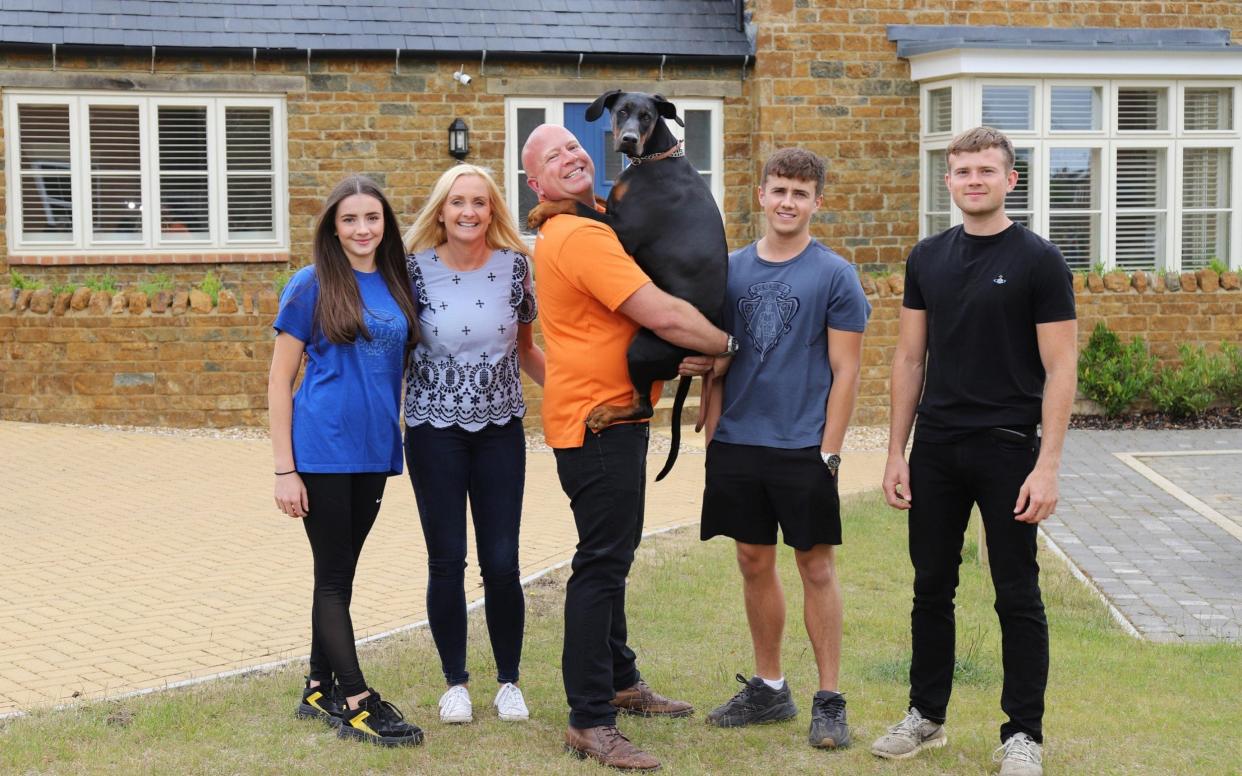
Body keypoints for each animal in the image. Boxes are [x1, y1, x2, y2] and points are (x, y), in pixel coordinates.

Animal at [529, 89, 730, 479]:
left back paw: (606, 413)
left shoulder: (623, 233)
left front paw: (544, 209)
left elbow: (574, 202)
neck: (652, 160)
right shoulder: (613, 211)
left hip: (640, 349)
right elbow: (597, 199)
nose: (628, 140)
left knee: (644, 408)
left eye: (648, 116)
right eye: (622, 111)